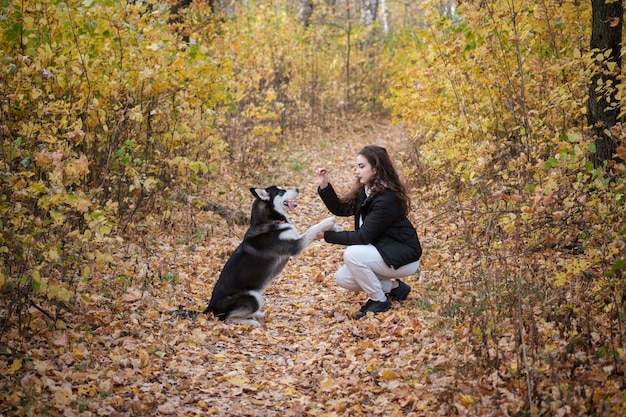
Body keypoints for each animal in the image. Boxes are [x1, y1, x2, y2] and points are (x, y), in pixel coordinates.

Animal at [176, 184, 338, 324]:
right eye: (281, 192)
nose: (298, 189)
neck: (270, 221)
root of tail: (210, 307)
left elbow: (316, 232)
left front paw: (335, 228)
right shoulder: (295, 246)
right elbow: (312, 228)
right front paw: (328, 221)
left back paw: (257, 314)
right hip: (254, 296)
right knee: (227, 318)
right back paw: (251, 322)